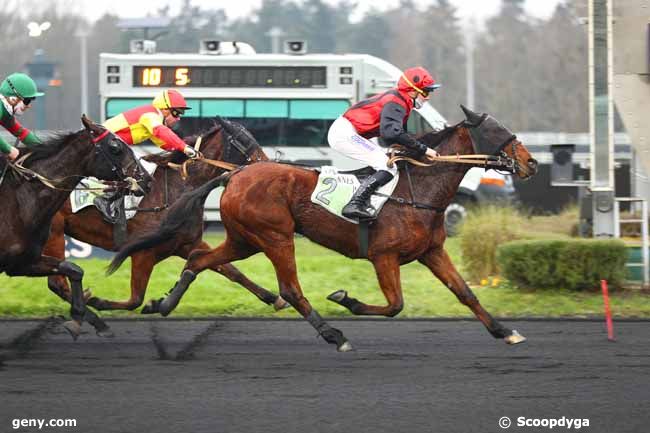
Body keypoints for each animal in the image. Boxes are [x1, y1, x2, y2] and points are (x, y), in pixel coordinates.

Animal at [0, 115, 149, 338]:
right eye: (115, 147)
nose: (147, 179)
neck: (20, 201)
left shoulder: (22, 262)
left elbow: (73, 269)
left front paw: (79, 318)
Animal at [40, 116, 284, 336]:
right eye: (243, 141)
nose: (266, 163)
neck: (177, 190)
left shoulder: (187, 243)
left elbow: (231, 271)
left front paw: (274, 298)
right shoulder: (143, 253)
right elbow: (135, 300)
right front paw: (108, 301)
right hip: (54, 234)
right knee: (57, 283)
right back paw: (95, 319)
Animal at [110, 105, 536, 352]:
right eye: (500, 133)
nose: (531, 163)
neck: (419, 189)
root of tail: (235, 175)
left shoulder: (432, 252)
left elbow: (465, 293)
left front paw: (504, 331)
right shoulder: (384, 256)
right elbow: (395, 305)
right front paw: (346, 298)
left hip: (245, 239)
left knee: (200, 260)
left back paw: (163, 303)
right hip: (275, 236)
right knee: (290, 289)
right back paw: (334, 335)